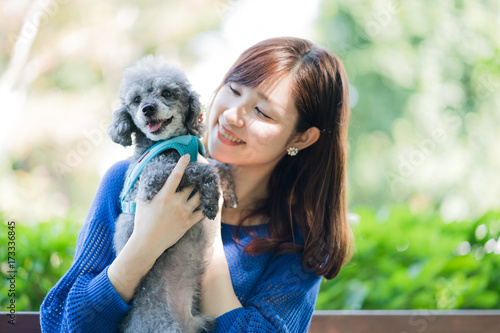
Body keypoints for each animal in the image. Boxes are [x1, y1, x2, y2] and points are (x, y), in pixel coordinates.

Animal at [108, 55, 236, 330]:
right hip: (164, 325)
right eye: (136, 100)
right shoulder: (154, 179)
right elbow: (201, 168)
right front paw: (212, 200)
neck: (167, 143)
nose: (147, 109)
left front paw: (229, 191)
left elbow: (215, 165)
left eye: (166, 93)